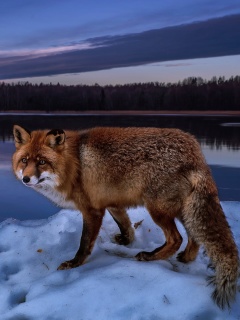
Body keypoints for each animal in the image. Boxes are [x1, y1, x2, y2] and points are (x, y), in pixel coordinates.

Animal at [12, 124, 239, 308]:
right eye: (24, 160)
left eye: (42, 162)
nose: (26, 179)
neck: (74, 164)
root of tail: (195, 151)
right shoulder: (112, 204)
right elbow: (126, 226)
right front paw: (125, 241)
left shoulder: (92, 210)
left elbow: (84, 243)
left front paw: (74, 263)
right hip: (183, 209)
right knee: (194, 237)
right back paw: (185, 258)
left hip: (157, 210)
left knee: (177, 238)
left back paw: (150, 257)